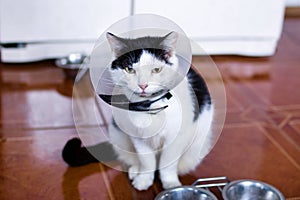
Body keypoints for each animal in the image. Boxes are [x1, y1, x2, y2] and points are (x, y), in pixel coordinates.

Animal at [103, 32, 213, 190]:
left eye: (156, 70)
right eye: (129, 69)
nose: (143, 85)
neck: (150, 106)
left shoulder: (176, 138)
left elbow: (168, 162)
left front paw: (171, 184)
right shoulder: (138, 138)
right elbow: (146, 161)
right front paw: (143, 179)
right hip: (118, 135)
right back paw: (136, 170)